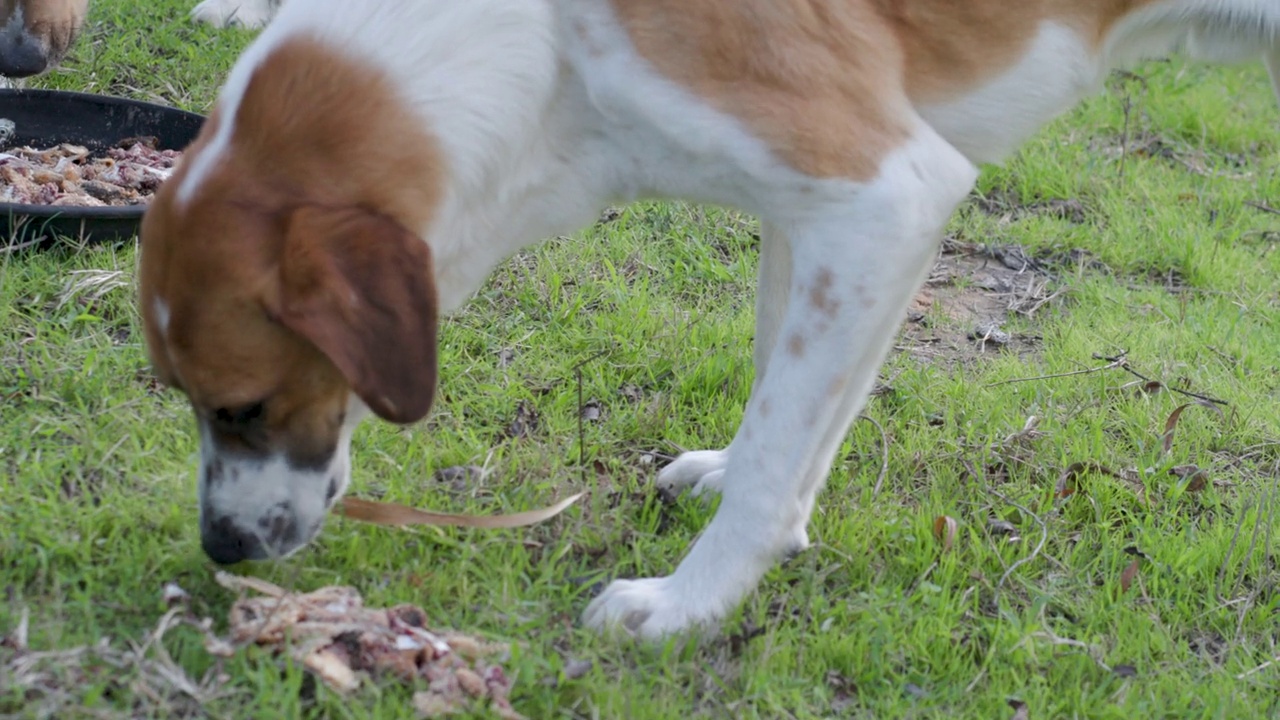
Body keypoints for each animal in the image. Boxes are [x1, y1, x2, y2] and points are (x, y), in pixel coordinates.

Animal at [137, 0, 1280, 638]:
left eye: (241, 408)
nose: (221, 547)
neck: (540, 45)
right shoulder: (828, 219)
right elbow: (792, 401)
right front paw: (740, 483)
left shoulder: (884, 190)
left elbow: (781, 447)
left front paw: (687, 608)